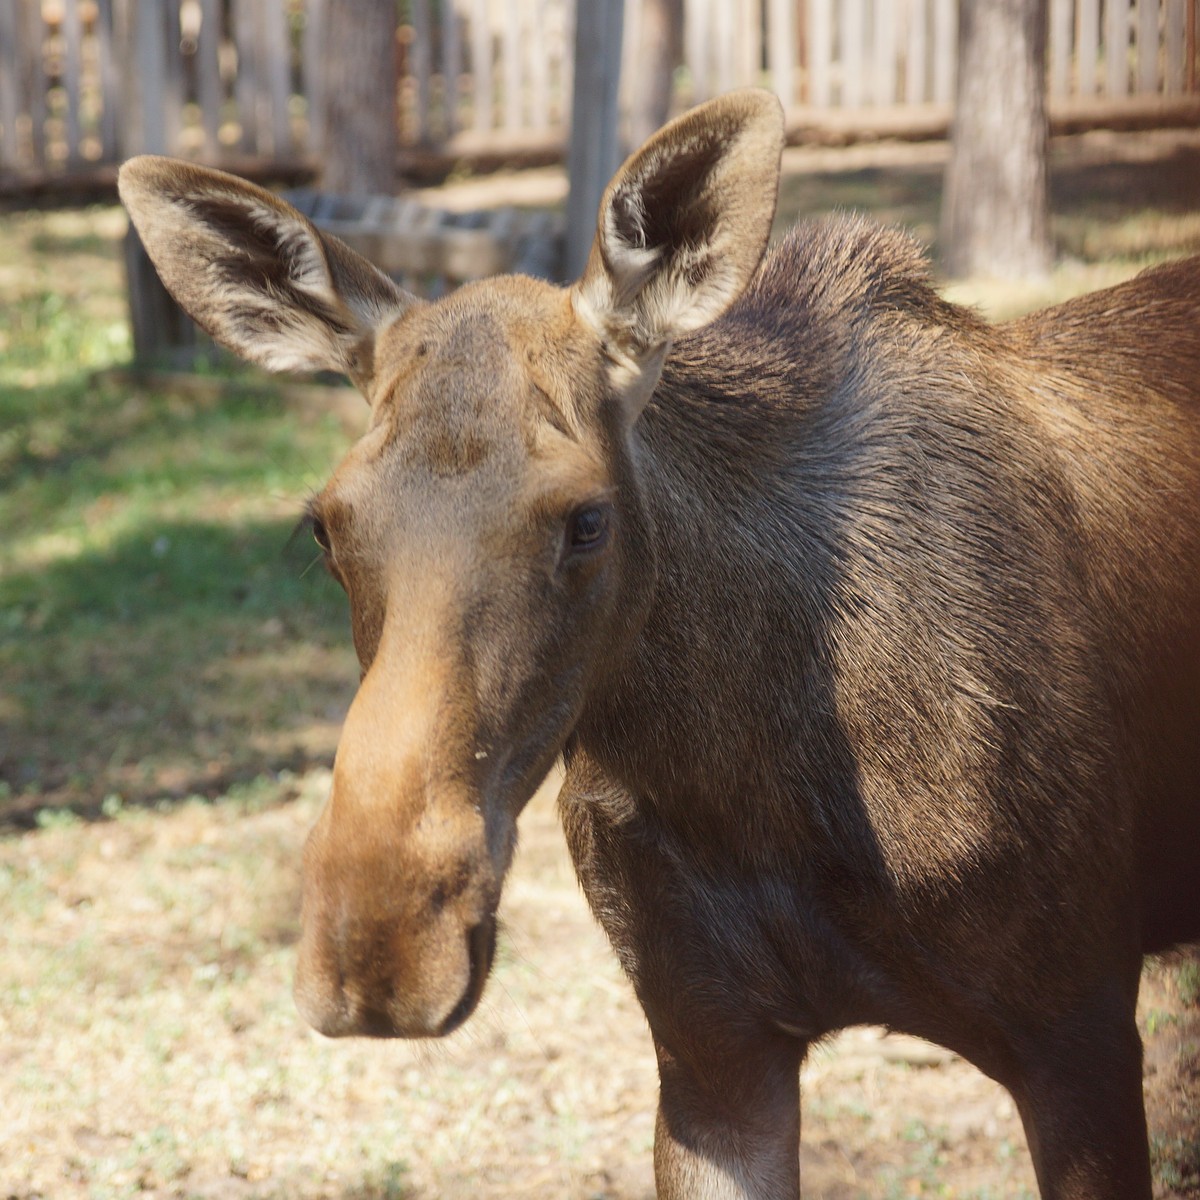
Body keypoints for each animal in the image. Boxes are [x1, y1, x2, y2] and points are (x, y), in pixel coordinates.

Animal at [124, 93, 1200, 1200]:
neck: (756, 789)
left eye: (587, 518)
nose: (381, 942)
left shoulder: (1080, 1028)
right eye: (325, 527)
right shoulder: (708, 1052)